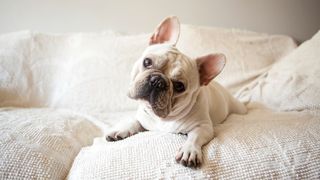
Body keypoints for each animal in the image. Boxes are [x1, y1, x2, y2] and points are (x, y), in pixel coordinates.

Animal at [105, 16, 248, 167]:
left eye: (179, 86)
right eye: (147, 62)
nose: (157, 81)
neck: (163, 118)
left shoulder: (204, 127)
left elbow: (194, 137)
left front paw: (189, 150)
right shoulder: (142, 118)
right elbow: (134, 122)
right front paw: (121, 129)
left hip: (238, 109)